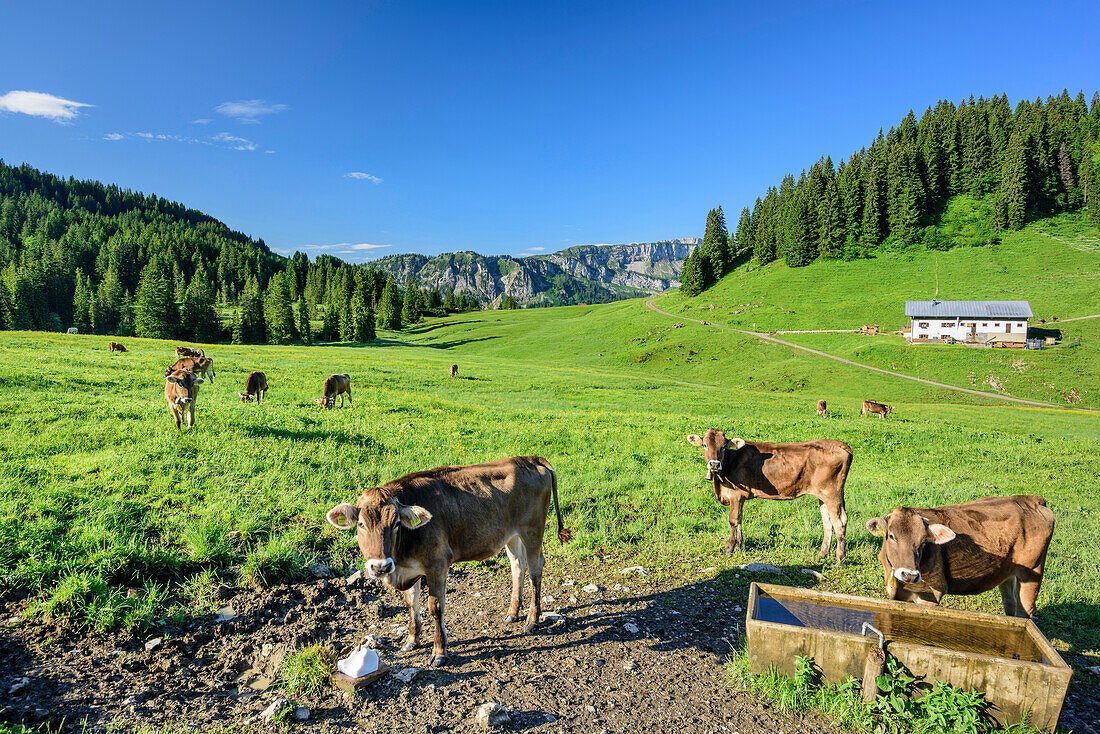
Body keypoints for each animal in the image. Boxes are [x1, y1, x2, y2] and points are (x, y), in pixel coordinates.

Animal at [323, 455, 567, 669]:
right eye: (361, 524)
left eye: (396, 523)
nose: (380, 566)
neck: (401, 557)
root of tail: (530, 459)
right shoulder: (408, 569)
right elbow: (411, 603)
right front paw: (411, 640)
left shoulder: (437, 564)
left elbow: (435, 607)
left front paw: (439, 652)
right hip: (512, 535)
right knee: (518, 565)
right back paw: (513, 613)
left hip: (533, 529)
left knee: (535, 568)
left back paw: (532, 620)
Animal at [686, 426, 849, 567]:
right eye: (705, 445)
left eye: (724, 447)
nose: (714, 464)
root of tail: (841, 444)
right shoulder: (741, 497)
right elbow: (739, 519)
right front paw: (740, 544)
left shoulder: (736, 495)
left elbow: (733, 520)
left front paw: (729, 548)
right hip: (824, 496)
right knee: (827, 522)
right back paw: (822, 554)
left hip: (831, 494)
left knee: (839, 522)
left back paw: (839, 559)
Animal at [866, 493, 1056, 620]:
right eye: (891, 536)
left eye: (923, 541)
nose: (910, 575)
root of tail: (1031, 499)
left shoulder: (931, 593)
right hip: (1009, 574)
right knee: (1011, 605)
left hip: (1032, 572)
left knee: (1025, 612)